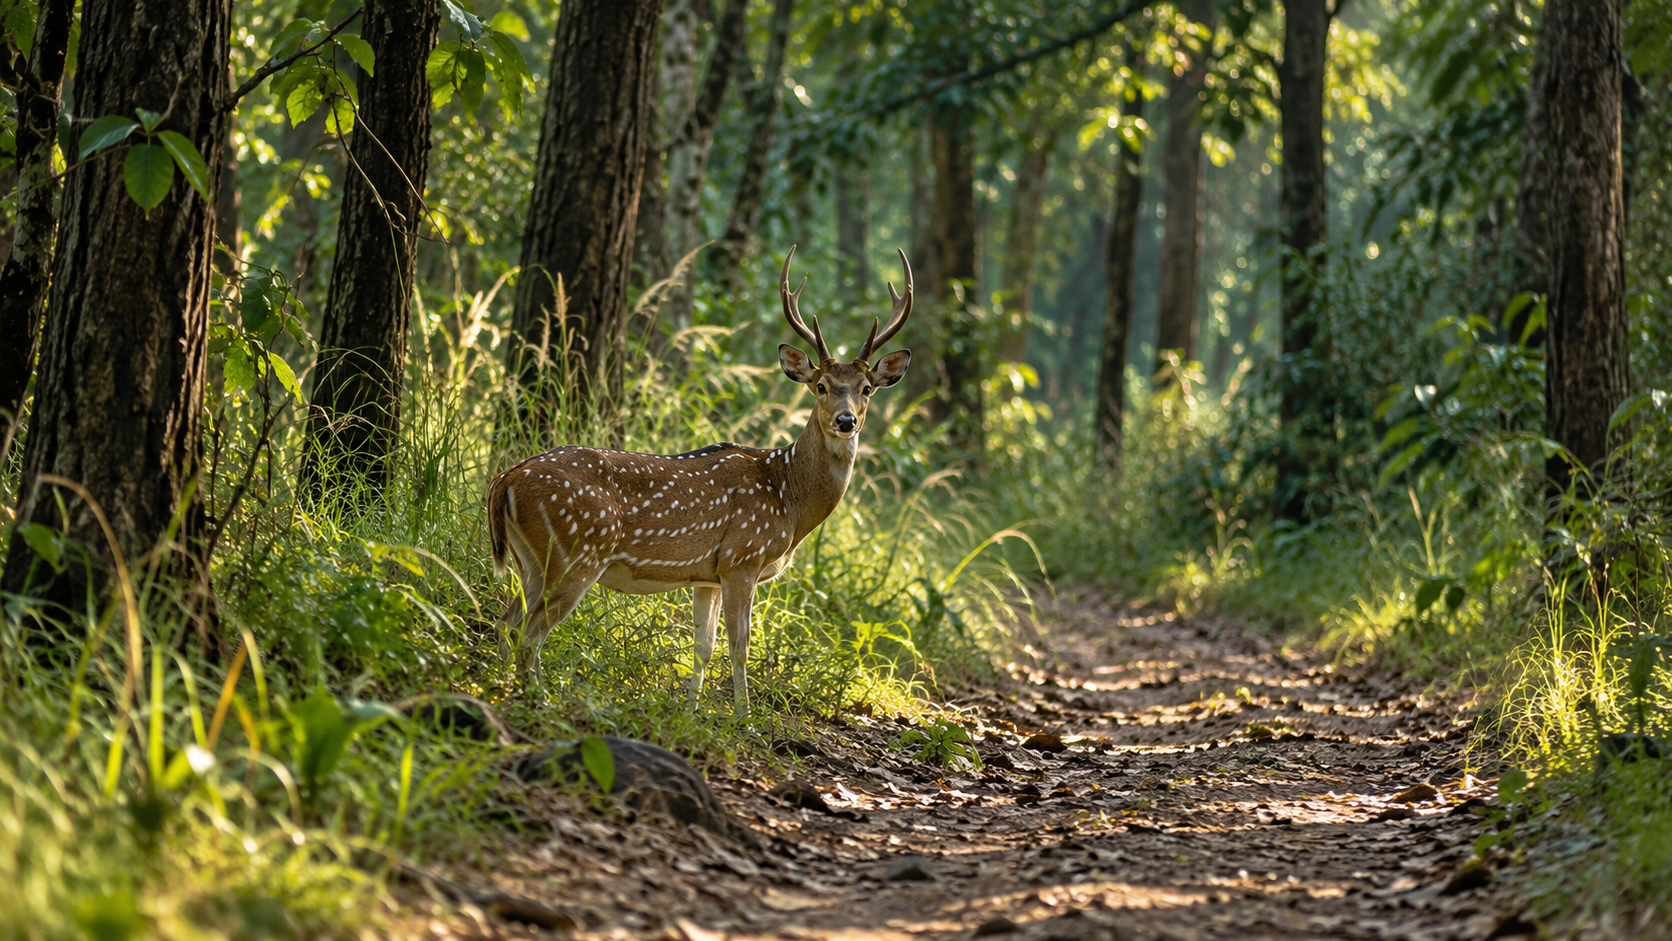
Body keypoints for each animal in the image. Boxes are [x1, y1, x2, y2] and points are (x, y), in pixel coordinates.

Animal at [486, 247, 913, 716]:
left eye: (867, 388)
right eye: (821, 385)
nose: (845, 421)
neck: (788, 499)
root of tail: (505, 480)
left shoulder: (708, 574)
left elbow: (702, 646)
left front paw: (692, 711)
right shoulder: (743, 557)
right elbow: (740, 645)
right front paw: (744, 717)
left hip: (530, 558)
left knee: (505, 622)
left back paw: (503, 688)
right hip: (575, 551)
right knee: (529, 631)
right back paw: (537, 696)